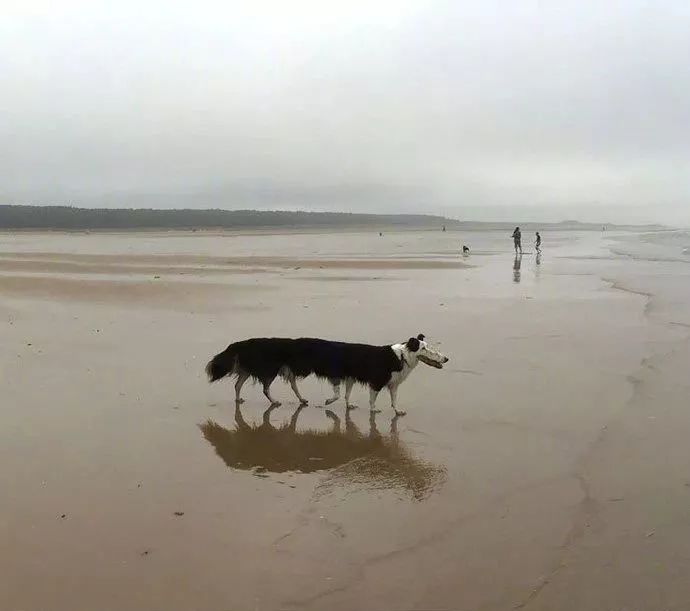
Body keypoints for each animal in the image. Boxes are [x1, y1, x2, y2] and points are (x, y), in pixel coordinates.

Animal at [207, 334, 448, 416]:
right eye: (425, 348)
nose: (446, 359)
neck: (401, 357)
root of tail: (245, 343)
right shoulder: (370, 380)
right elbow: (354, 396)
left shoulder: (387, 383)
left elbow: (391, 399)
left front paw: (397, 411)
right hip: (270, 371)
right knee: (264, 387)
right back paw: (275, 401)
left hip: (273, 370)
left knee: (240, 383)